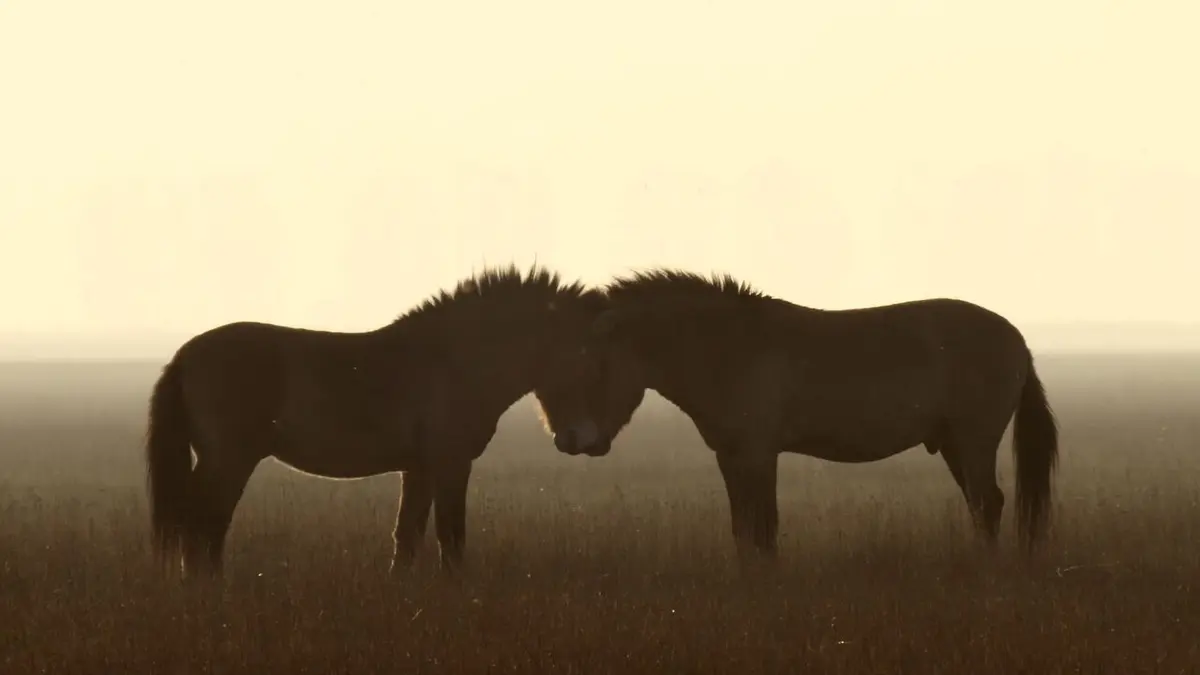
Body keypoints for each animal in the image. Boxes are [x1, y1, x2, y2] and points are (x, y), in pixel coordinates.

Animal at [145, 264, 608, 579]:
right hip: (229, 460)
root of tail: (186, 354)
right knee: (203, 520)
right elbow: (451, 532)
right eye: (586, 359)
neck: (453, 361)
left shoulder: (418, 468)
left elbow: (408, 535)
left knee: (202, 521)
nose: (584, 441)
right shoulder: (451, 463)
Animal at [536, 268, 1060, 566]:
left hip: (973, 441)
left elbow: (764, 526)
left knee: (988, 503)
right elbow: (743, 526)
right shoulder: (730, 456)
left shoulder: (758, 453)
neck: (729, 349)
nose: (569, 439)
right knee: (981, 504)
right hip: (952, 443)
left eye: (592, 366)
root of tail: (1018, 339)